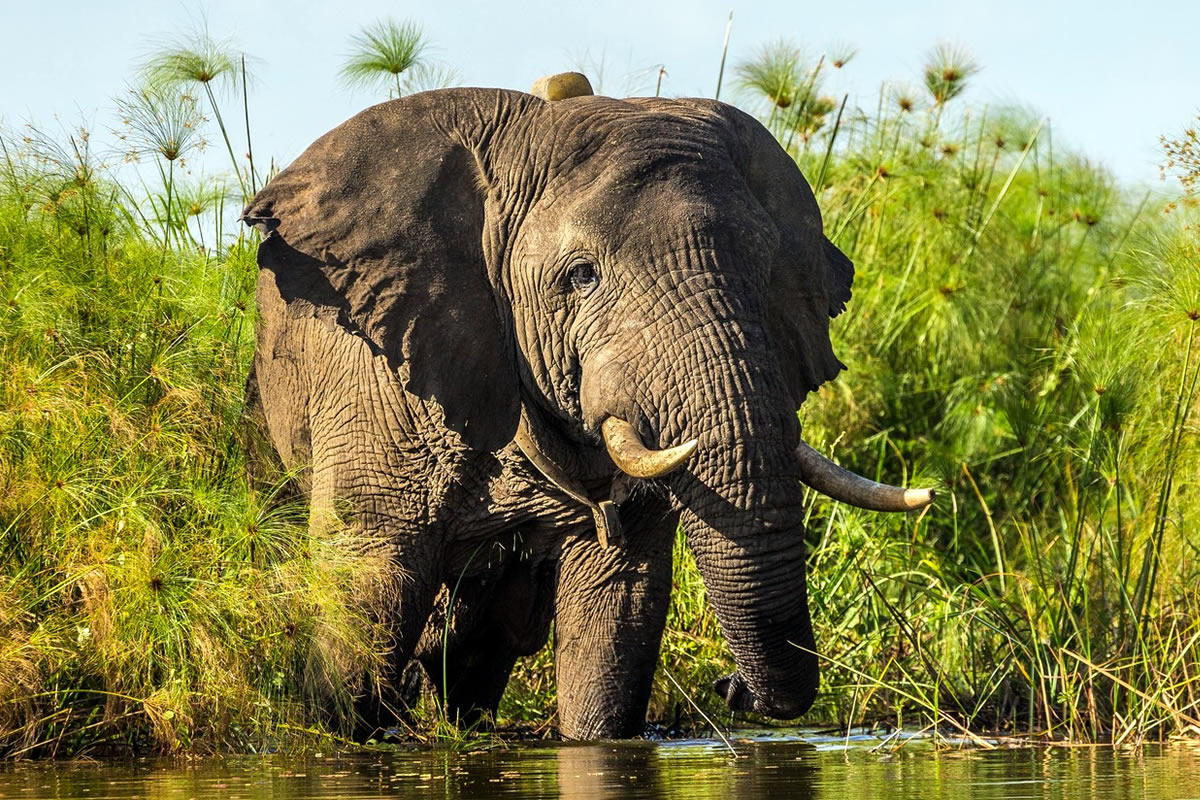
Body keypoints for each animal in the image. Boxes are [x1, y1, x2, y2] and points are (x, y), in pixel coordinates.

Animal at [239, 73, 932, 740]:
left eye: (767, 272)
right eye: (581, 276)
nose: (730, 687)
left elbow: (615, 613)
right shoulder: (378, 380)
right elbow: (368, 587)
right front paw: (340, 738)